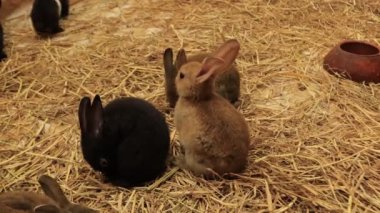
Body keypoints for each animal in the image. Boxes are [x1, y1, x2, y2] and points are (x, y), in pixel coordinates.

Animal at [173, 38, 249, 178]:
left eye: (181, 75)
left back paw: (178, 160)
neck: (197, 98)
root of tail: (231, 168)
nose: (176, 77)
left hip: (194, 155)